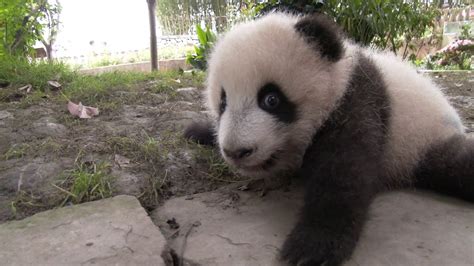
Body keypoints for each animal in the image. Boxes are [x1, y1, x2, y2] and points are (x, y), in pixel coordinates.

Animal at [183, 12, 472, 266]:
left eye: (271, 99)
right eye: (222, 103)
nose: (236, 151)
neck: (339, 77)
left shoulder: (359, 100)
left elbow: (344, 170)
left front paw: (312, 245)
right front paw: (197, 131)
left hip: (422, 142)